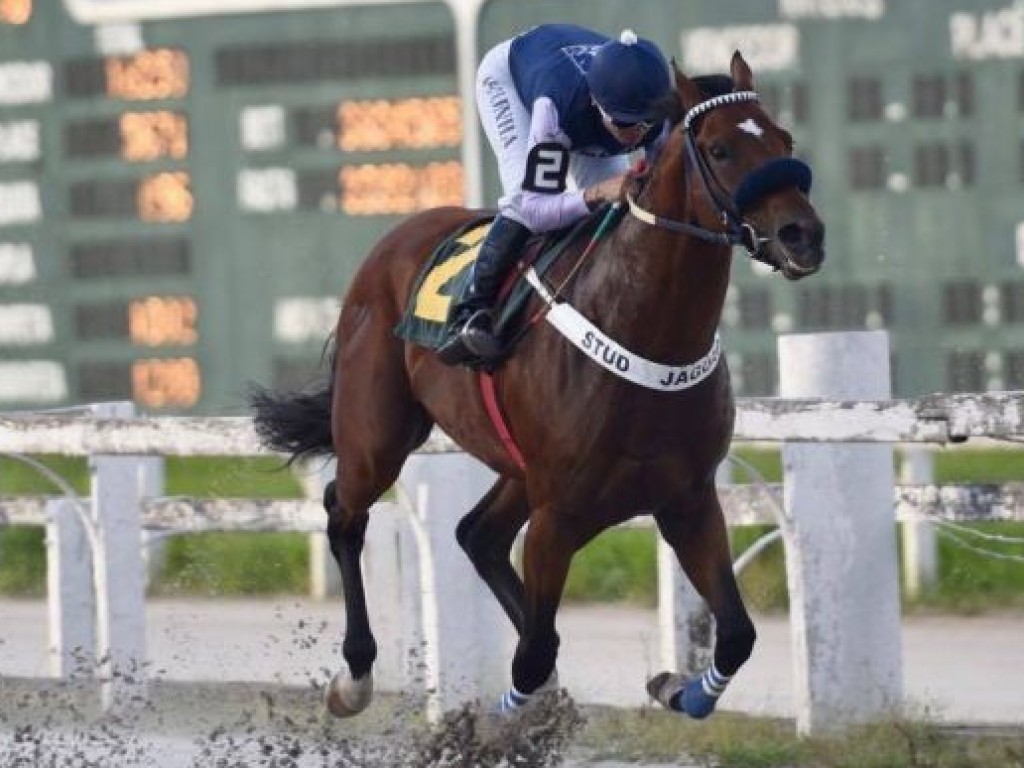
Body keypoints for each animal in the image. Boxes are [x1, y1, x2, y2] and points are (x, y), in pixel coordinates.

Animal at [251, 54, 827, 720]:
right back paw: (355, 676)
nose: (803, 235)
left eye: (785, 140)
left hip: (518, 469)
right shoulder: (559, 513)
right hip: (377, 436)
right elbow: (530, 656)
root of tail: (394, 239)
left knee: (477, 536)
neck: (649, 333)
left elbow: (736, 633)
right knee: (344, 513)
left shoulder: (688, 500)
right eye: (721, 148)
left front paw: (675, 687)